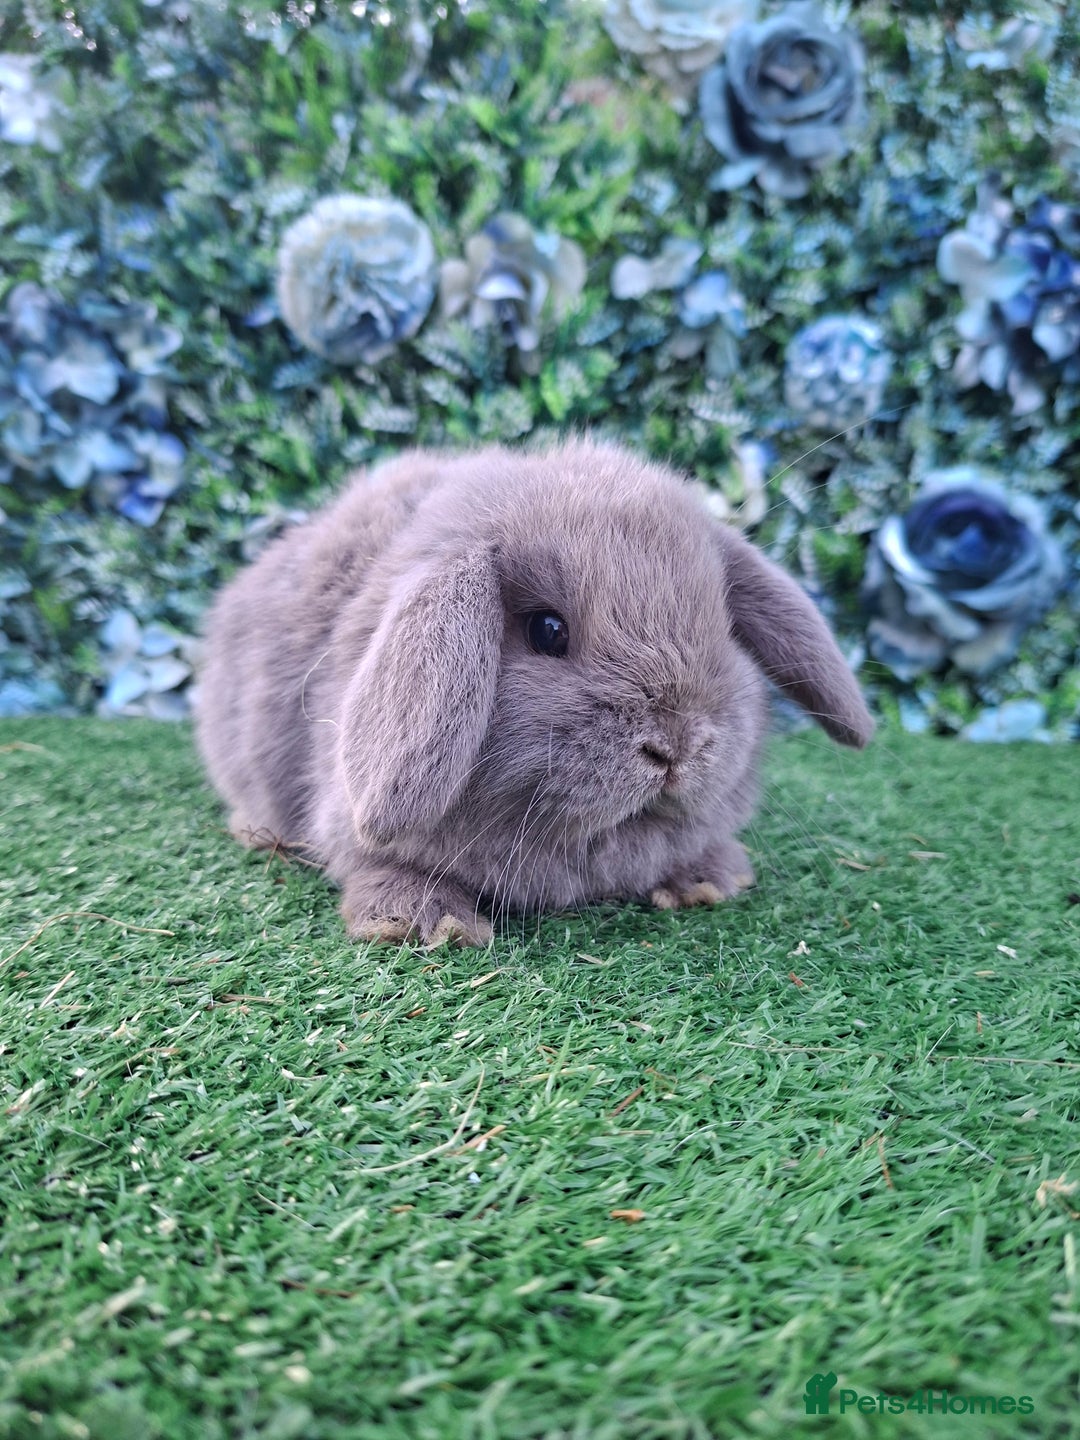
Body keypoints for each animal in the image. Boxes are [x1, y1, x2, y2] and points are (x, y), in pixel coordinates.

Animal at [195, 438, 873, 946]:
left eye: (726, 625)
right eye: (548, 630)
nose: (677, 745)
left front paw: (710, 880)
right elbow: (375, 862)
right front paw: (425, 923)